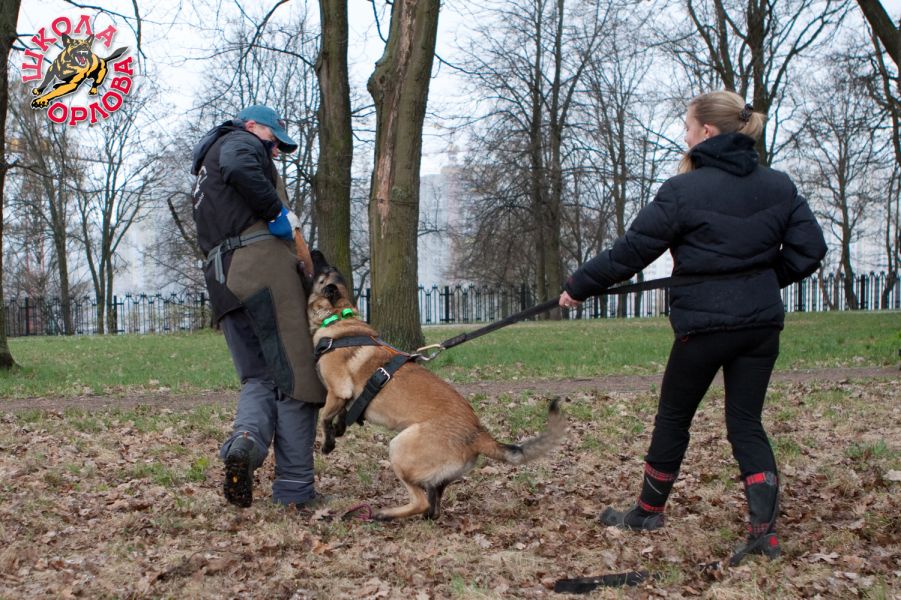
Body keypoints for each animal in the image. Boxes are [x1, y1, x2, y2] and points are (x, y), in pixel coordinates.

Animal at [307, 251, 566, 520]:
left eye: (324, 271)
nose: (315, 252)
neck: (339, 318)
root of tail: (478, 434)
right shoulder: (345, 396)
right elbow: (342, 413)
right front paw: (339, 430)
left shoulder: (338, 390)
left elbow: (324, 417)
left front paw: (328, 443)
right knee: (433, 504)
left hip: (399, 449)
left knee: (420, 501)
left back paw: (384, 514)